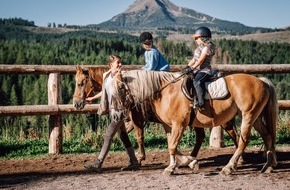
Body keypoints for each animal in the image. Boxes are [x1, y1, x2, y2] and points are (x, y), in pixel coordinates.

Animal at [73, 65, 240, 165]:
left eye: (80, 83)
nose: (76, 103)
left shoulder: (136, 118)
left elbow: (139, 136)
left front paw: (140, 158)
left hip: (223, 121)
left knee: (234, 134)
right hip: (196, 121)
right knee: (200, 137)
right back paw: (192, 157)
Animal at [112, 70, 278, 175]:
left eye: (120, 86)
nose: (118, 113)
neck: (165, 92)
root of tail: (262, 82)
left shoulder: (179, 124)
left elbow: (171, 145)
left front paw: (177, 166)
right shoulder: (169, 125)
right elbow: (171, 145)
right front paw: (184, 163)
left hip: (248, 116)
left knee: (243, 140)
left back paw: (229, 167)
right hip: (255, 118)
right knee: (267, 136)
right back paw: (268, 166)